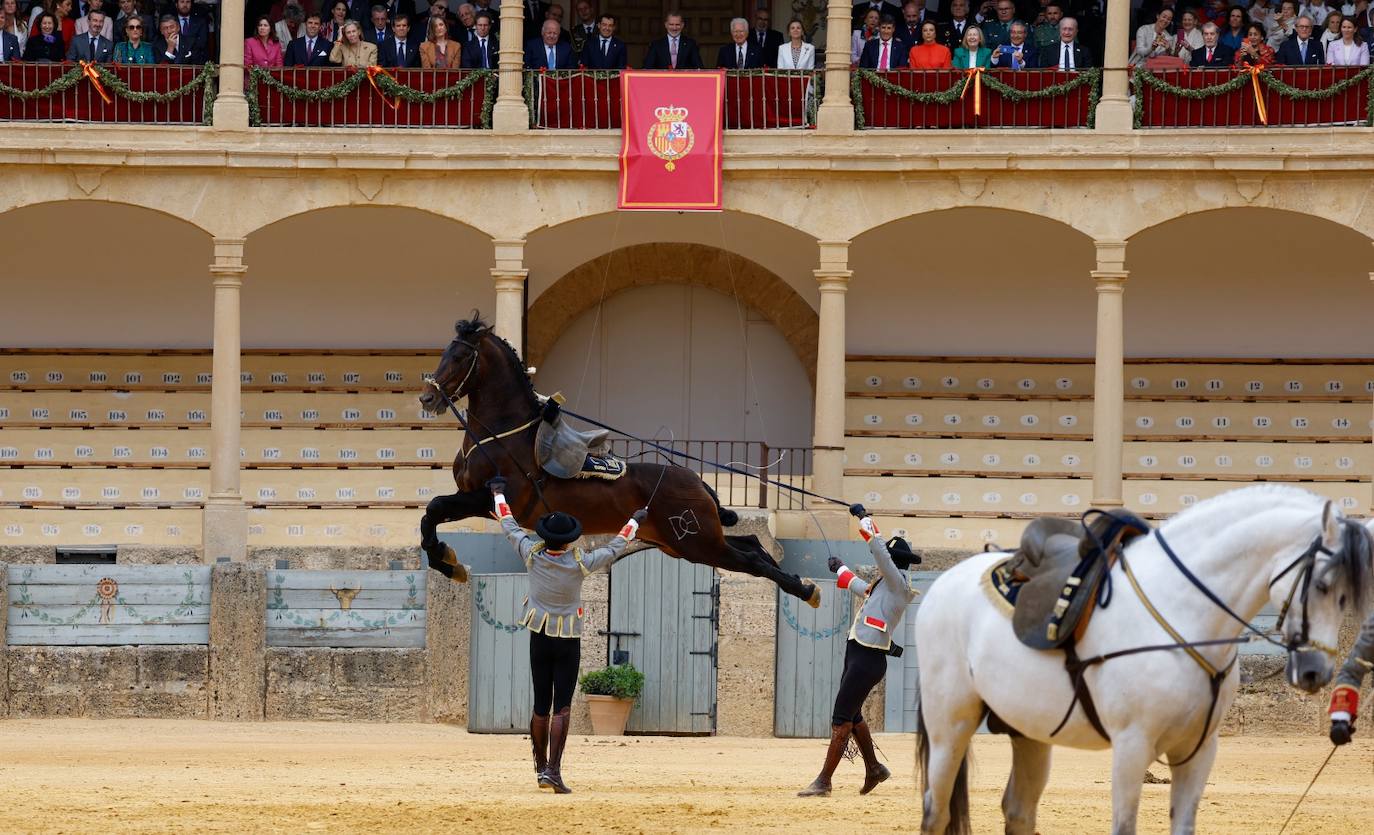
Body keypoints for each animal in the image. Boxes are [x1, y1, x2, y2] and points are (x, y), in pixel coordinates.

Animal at [417, 313, 818, 607]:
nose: (427, 398)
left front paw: (445, 559)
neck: (505, 433)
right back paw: (798, 582)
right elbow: (432, 513)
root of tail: (696, 479)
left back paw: (805, 589)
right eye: (444, 352)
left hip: (699, 543)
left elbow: (434, 507)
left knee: (751, 560)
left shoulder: (493, 498)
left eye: (459, 356)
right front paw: (446, 560)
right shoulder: (477, 501)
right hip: (687, 544)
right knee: (751, 543)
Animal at [912, 486, 1374, 829]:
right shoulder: (1132, 746)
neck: (1183, 611)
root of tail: (945, 582)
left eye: (1349, 593)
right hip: (950, 725)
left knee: (1019, 811)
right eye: (1322, 584)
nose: (1316, 671)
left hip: (1029, 732)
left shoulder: (1199, 750)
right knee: (936, 809)